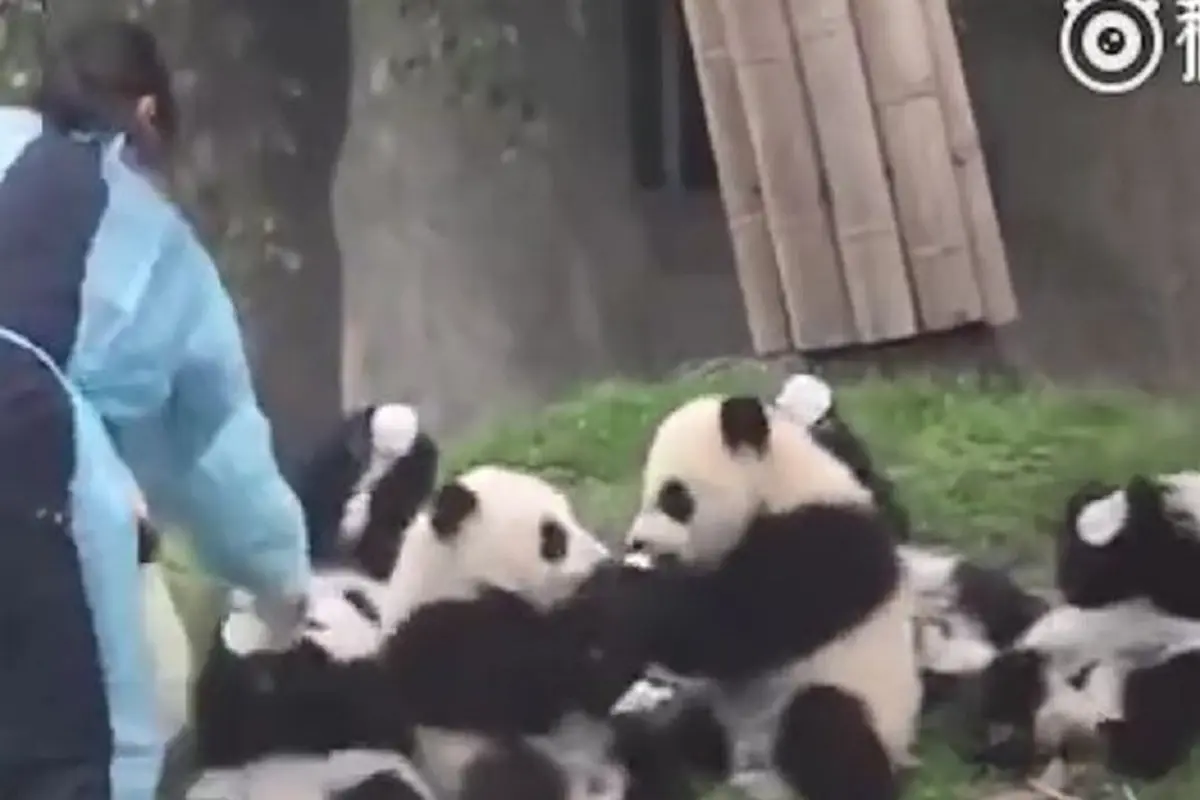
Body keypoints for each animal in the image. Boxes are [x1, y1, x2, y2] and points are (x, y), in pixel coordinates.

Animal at [378, 464, 693, 800]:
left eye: (573, 518)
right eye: (554, 539)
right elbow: (549, 688)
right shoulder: (440, 638)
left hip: (609, 739)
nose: (603, 563)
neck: (452, 573)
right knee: (511, 778)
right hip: (468, 758)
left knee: (645, 745)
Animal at [616, 393, 922, 800]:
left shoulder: (824, 546)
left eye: (674, 498)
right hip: (722, 716)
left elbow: (732, 631)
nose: (637, 542)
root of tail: (752, 768)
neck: (780, 482)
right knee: (682, 731)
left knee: (826, 725)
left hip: (870, 708)